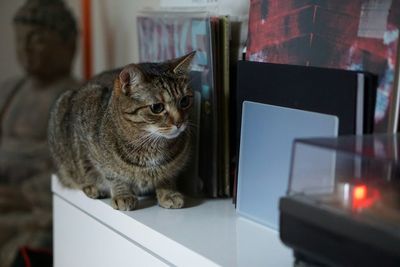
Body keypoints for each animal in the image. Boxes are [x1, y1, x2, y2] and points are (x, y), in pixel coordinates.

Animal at [47, 52, 196, 211]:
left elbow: (168, 175)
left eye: (185, 101)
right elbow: (111, 174)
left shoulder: (173, 168)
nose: (180, 123)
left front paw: (168, 193)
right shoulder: (85, 135)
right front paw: (122, 194)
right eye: (157, 107)